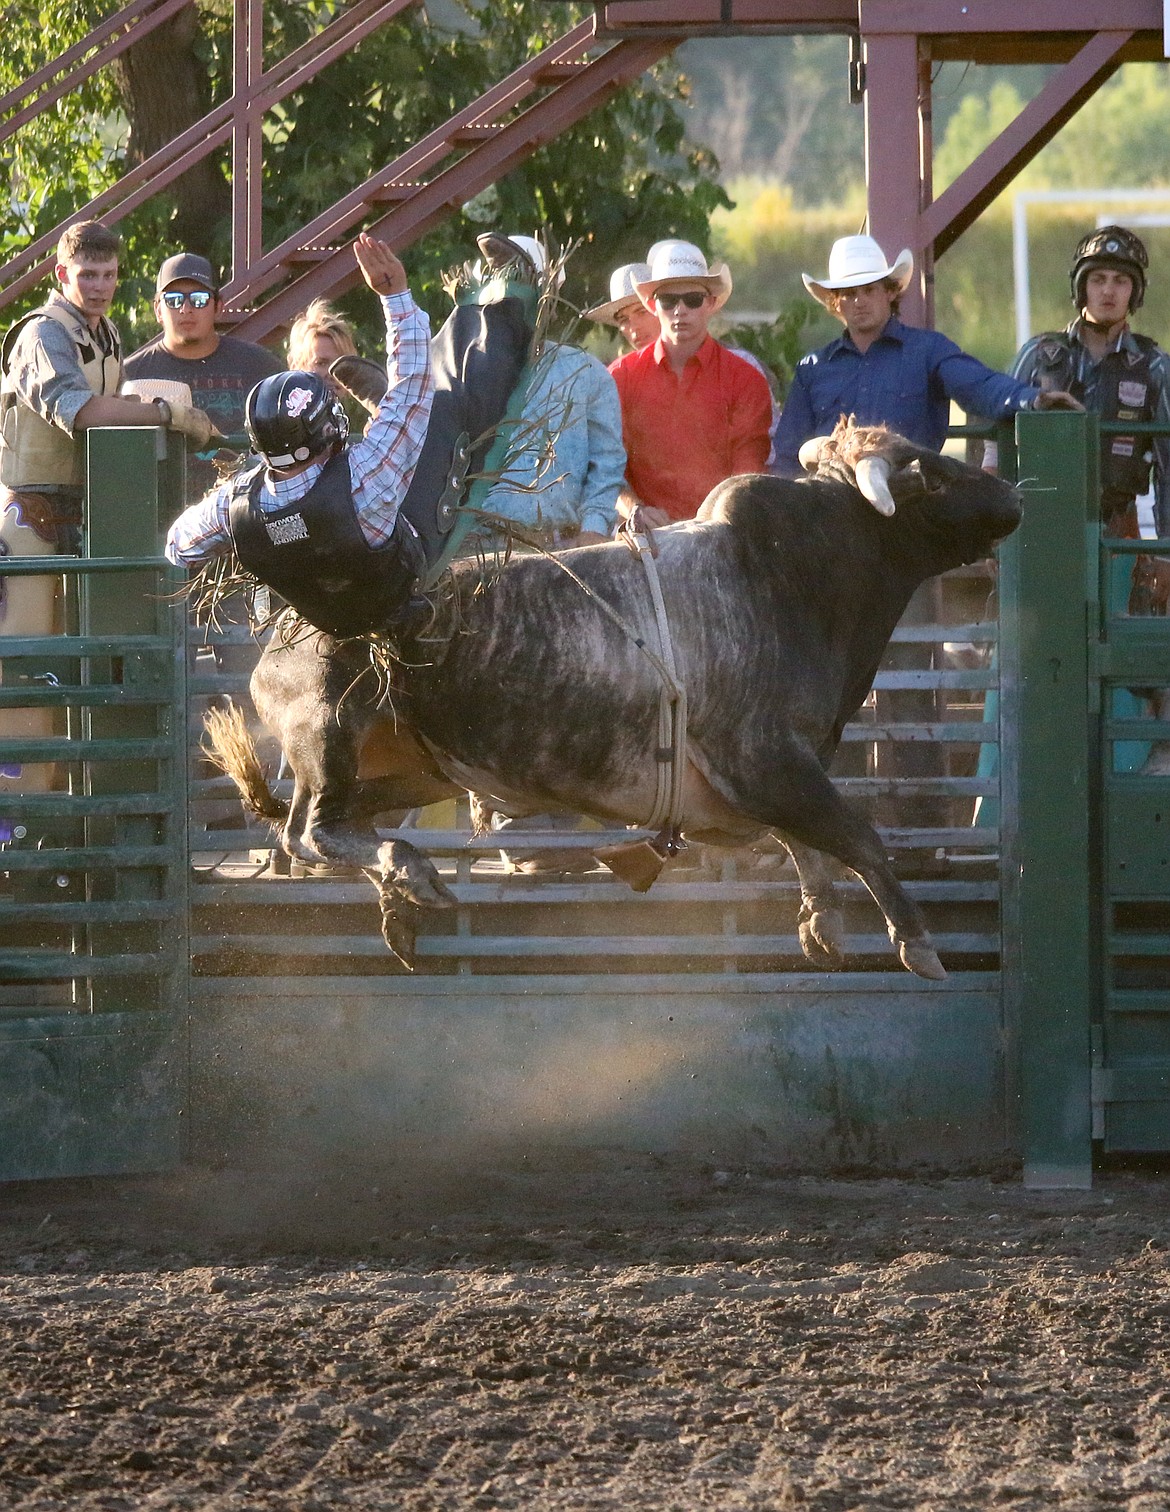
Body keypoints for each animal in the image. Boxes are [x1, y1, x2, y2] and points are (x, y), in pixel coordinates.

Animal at [208, 420, 1027, 979]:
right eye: (930, 472)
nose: (1011, 496)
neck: (786, 574)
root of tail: (280, 636)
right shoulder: (765, 760)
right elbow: (858, 837)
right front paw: (916, 942)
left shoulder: (774, 777)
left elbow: (813, 842)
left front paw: (823, 925)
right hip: (329, 732)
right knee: (312, 833)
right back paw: (408, 874)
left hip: (412, 767)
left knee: (328, 828)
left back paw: (398, 901)